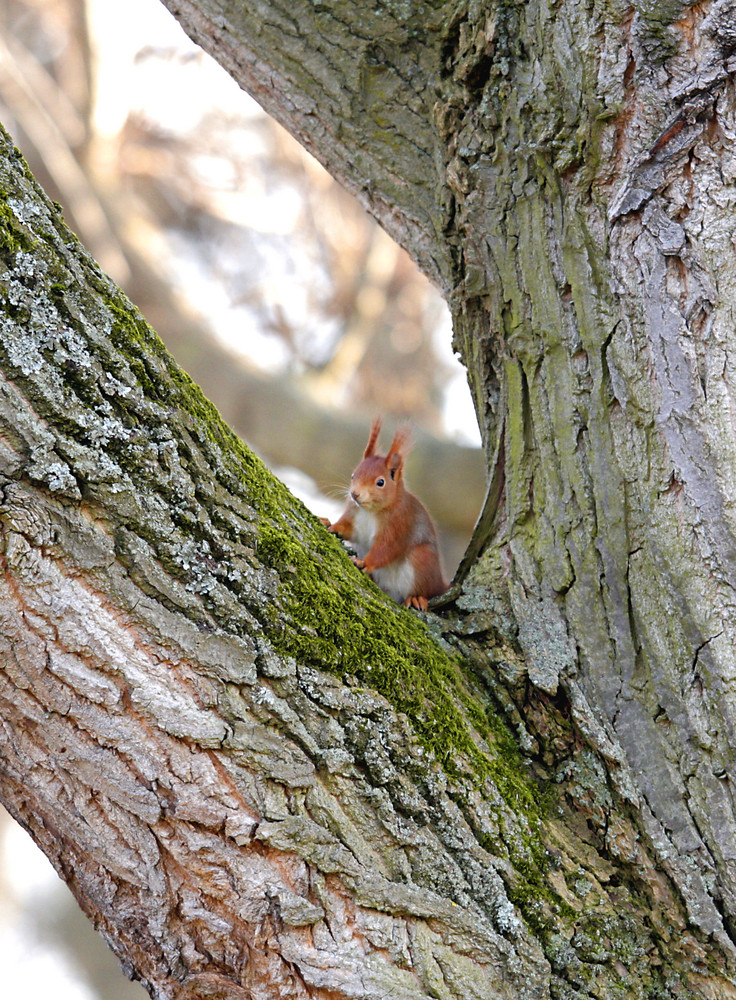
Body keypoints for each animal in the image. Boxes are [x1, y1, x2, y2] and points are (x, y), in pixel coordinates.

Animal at [324, 416, 448, 608]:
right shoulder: (354, 516)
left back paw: (416, 597)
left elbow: (385, 549)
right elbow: (347, 528)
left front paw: (364, 562)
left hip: (423, 560)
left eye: (380, 482)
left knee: (426, 590)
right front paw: (330, 524)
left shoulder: (399, 524)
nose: (355, 494)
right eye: (353, 474)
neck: (371, 511)